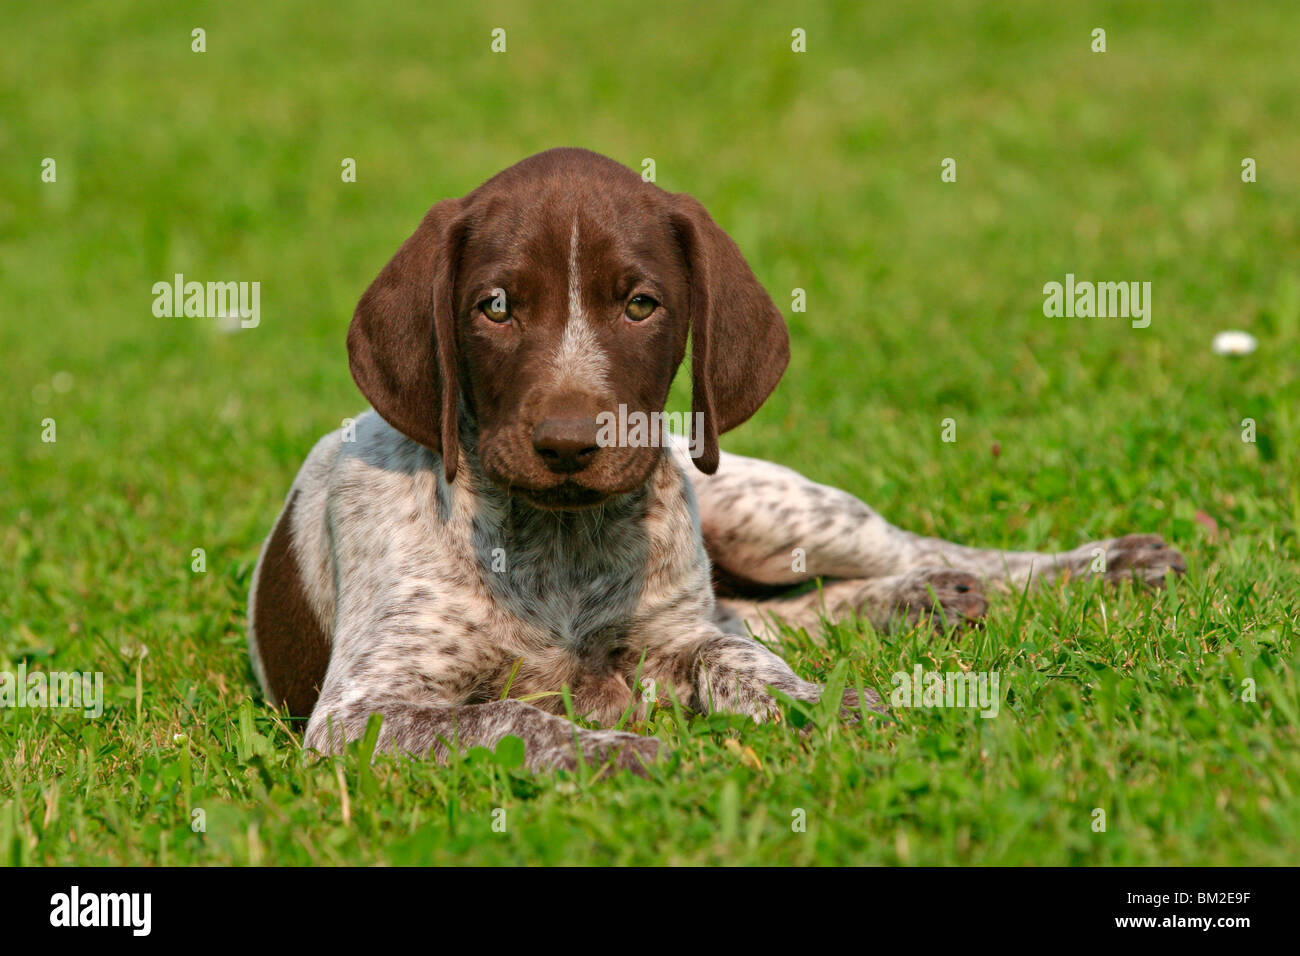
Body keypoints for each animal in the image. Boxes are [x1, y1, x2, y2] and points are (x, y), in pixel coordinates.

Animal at [245, 151, 1190, 780]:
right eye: (496, 308)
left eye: (640, 305)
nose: (569, 444)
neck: (557, 542)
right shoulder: (360, 711)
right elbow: (511, 718)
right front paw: (611, 751)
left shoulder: (681, 635)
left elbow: (748, 664)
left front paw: (824, 706)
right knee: (782, 614)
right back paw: (917, 604)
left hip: (769, 509)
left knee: (899, 558)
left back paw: (1093, 567)